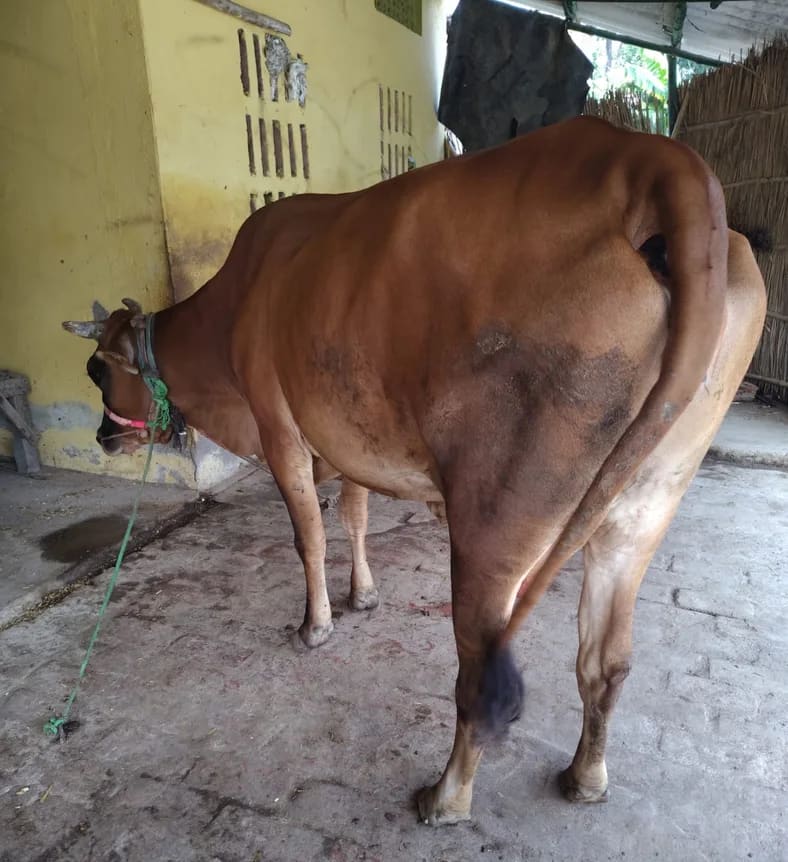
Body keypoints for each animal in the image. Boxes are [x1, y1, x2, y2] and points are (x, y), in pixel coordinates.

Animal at [63, 117, 766, 826]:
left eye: (95, 369)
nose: (102, 437)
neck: (240, 301)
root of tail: (656, 158)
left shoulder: (278, 427)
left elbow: (308, 535)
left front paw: (316, 625)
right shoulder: (346, 433)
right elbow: (354, 516)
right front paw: (363, 595)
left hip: (497, 520)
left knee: (480, 672)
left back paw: (446, 796)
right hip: (645, 504)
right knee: (607, 660)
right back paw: (585, 776)